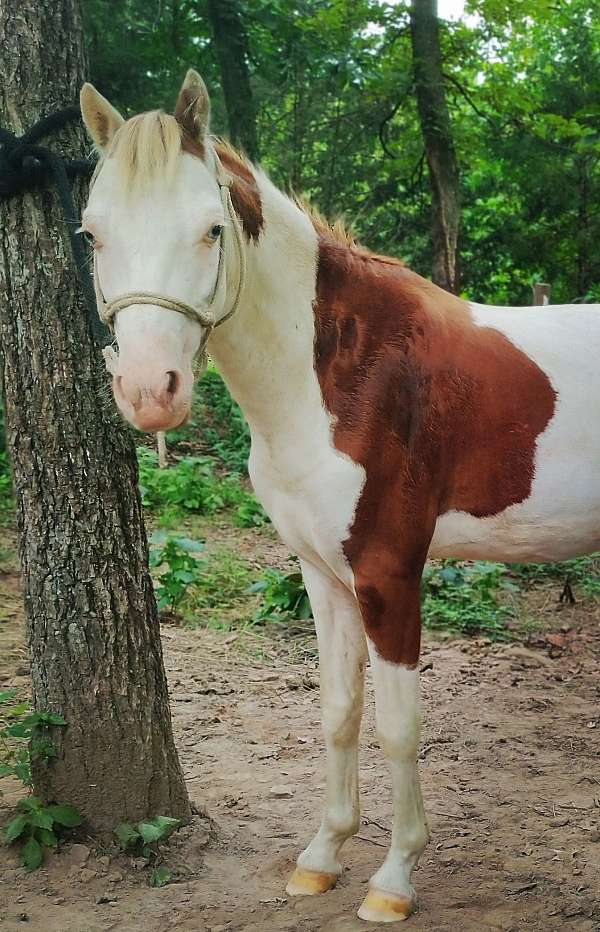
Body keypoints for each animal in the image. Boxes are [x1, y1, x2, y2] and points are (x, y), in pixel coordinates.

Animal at [79, 69, 600, 920]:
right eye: (93, 234)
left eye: (211, 231)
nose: (151, 391)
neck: (346, 372)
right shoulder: (324, 575)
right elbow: (337, 713)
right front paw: (323, 855)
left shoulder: (389, 574)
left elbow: (398, 726)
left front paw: (394, 879)